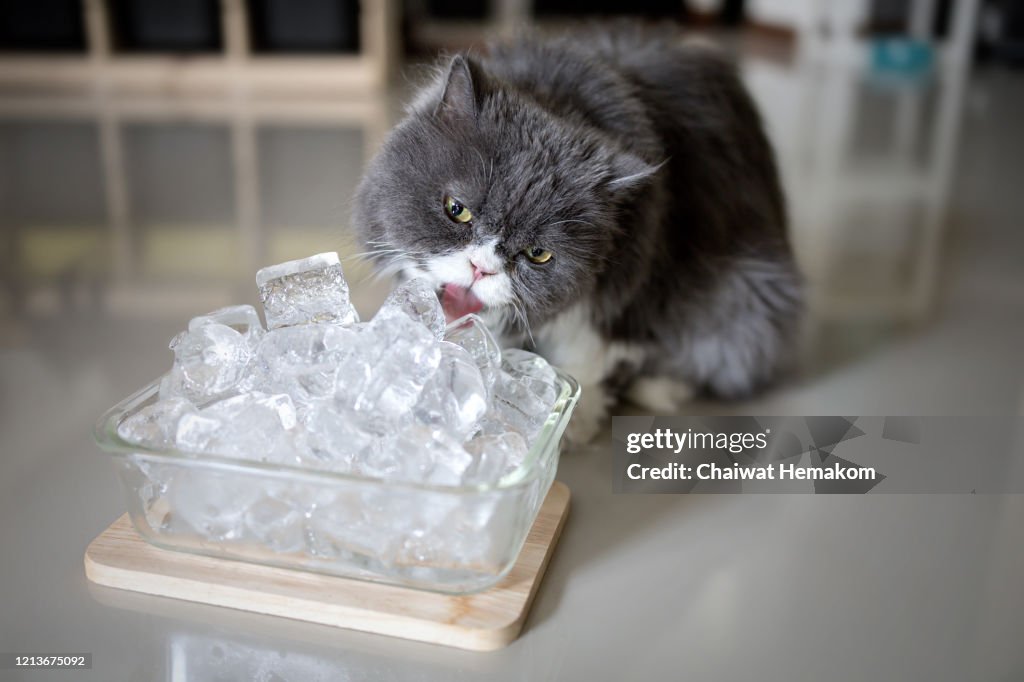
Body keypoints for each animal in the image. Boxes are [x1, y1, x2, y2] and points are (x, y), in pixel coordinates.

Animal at [352, 23, 798, 440]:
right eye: (457, 210)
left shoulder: (623, 293)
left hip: (751, 302)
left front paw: (568, 426)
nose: (482, 267)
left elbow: (583, 355)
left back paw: (659, 389)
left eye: (538, 254)